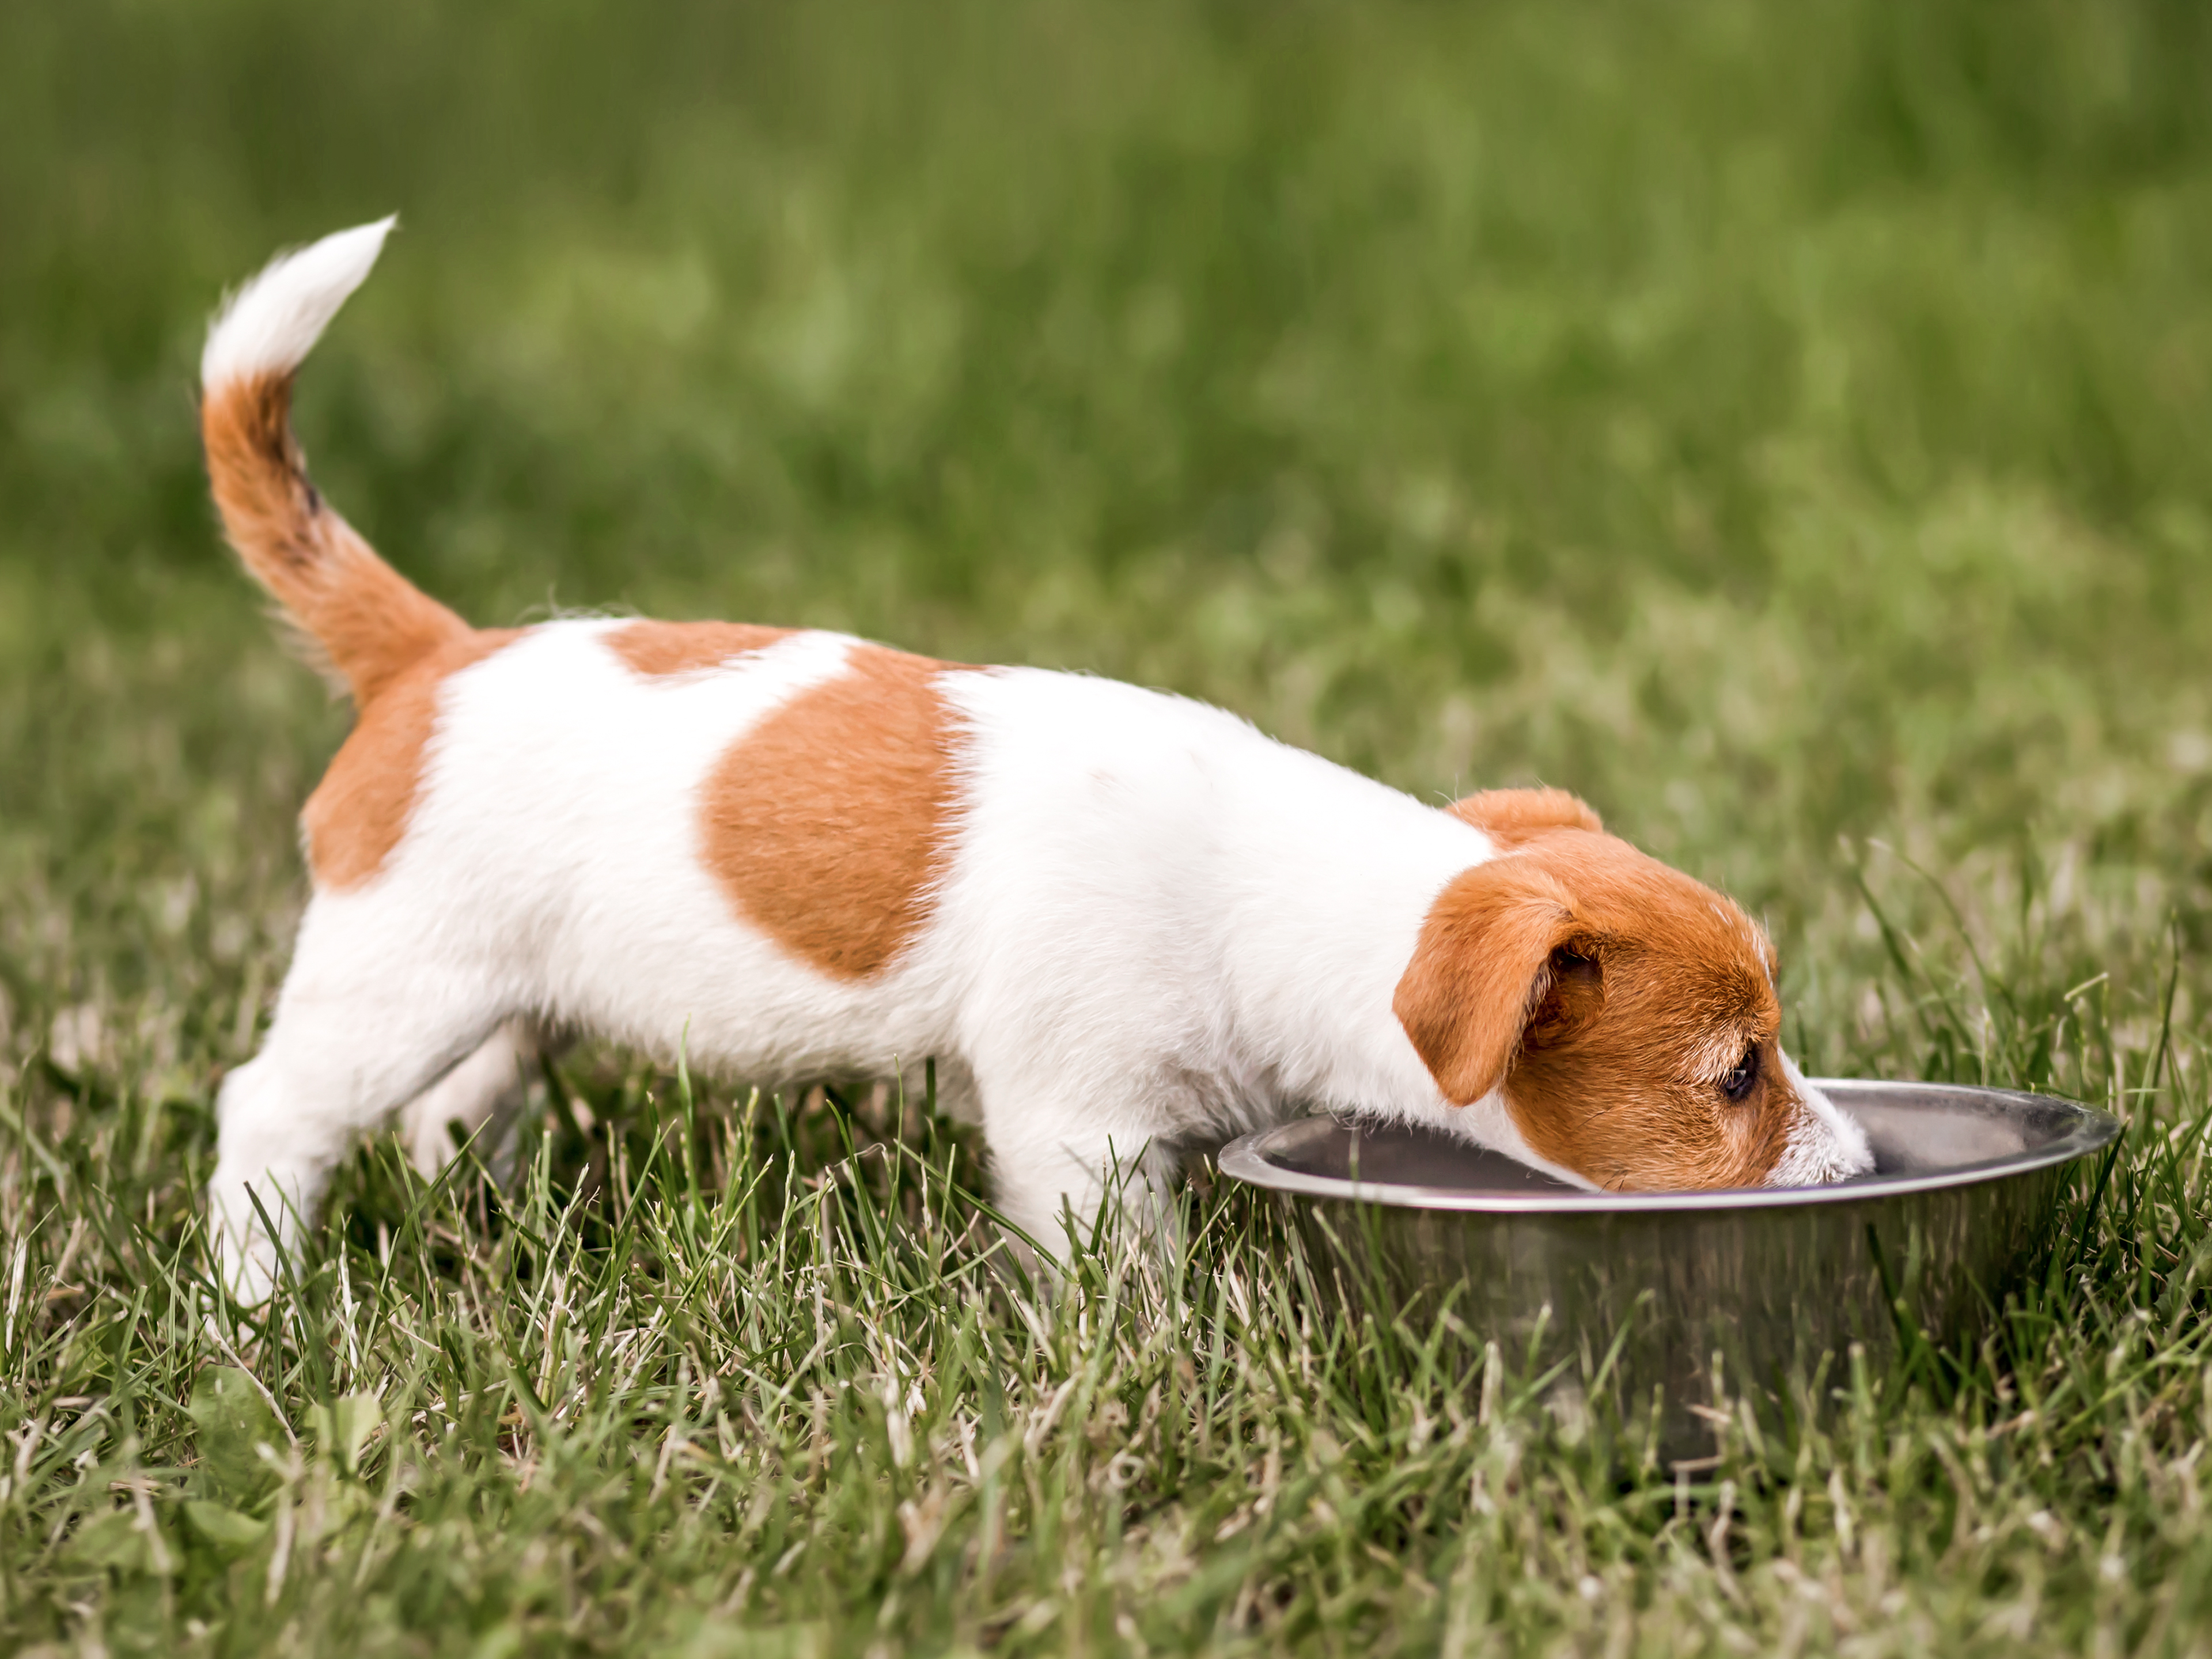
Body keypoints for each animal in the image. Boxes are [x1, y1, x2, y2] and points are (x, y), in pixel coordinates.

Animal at [199, 221, 1876, 1309]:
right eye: (1735, 1076)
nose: (1856, 1168)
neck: (1277, 892)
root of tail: (434, 656)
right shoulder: (1080, 1127)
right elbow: (1117, 1276)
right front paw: (1157, 1367)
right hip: (395, 978)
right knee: (271, 1112)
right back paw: (253, 1307)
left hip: (504, 990)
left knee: (454, 1107)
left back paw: (481, 1215)